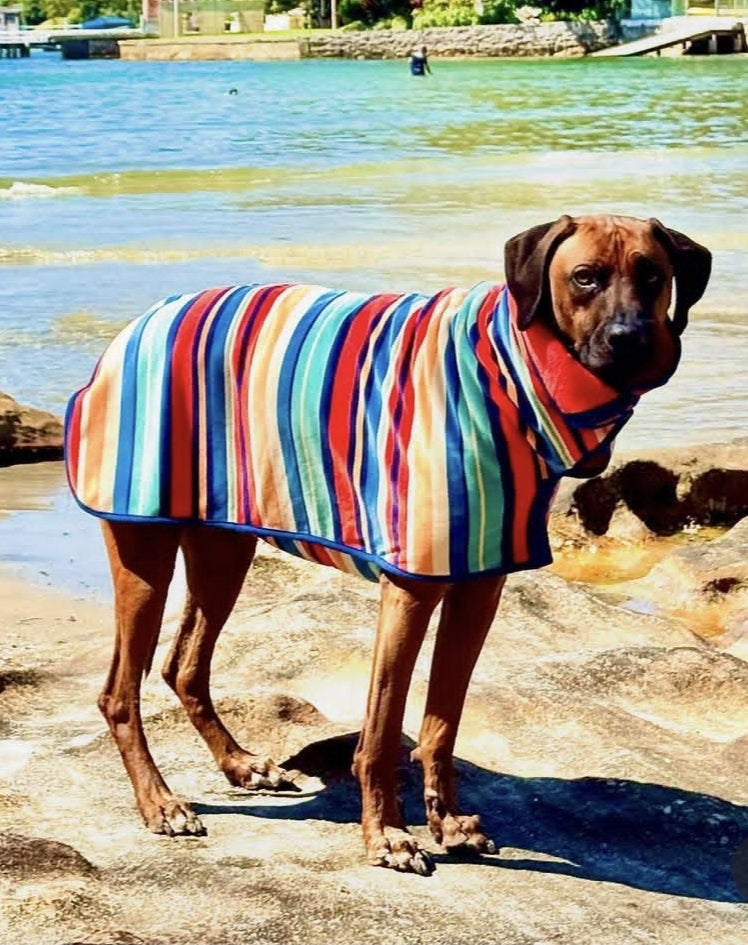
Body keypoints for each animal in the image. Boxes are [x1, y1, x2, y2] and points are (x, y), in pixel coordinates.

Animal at [65, 210, 712, 872]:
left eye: (653, 275)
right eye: (585, 277)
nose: (633, 340)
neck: (514, 372)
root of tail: (140, 323)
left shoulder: (478, 587)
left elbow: (441, 723)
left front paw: (447, 823)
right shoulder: (410, 590)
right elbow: (380, 730)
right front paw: (388, 835)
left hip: (224, 548)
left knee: (184, 667)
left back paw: (240, 764)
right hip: (143, 553)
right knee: (119, 693)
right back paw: (160, 802)